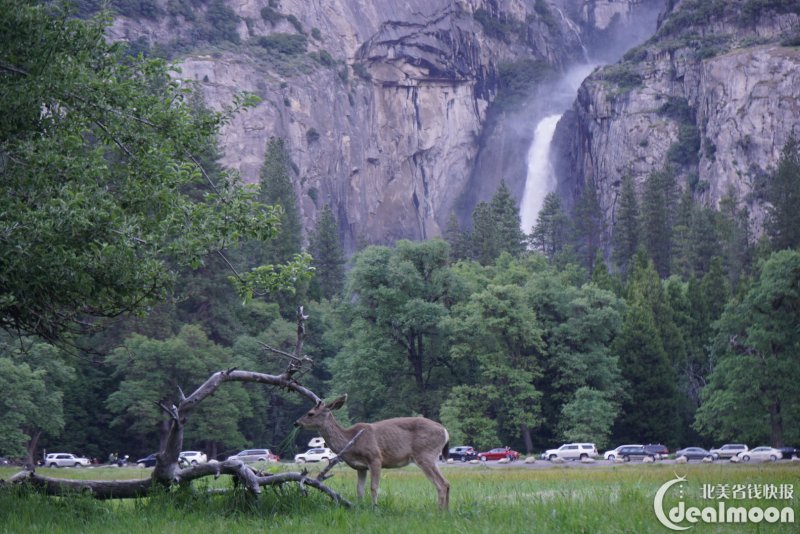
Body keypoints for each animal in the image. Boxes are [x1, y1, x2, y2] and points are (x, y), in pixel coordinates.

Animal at [294, 396, 450, 512]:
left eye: (310, 413)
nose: (296, 422)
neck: (351, 441)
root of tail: (445, 431)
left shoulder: (375, 458)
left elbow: (374, 487)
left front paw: (375, 509)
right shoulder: (360, 467)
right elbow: (359, 490)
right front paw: (359, 508)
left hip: (425, 454)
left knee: (441, 484)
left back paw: (439, 512)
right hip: (432, 457)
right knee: (446, 483)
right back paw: (446, 512)